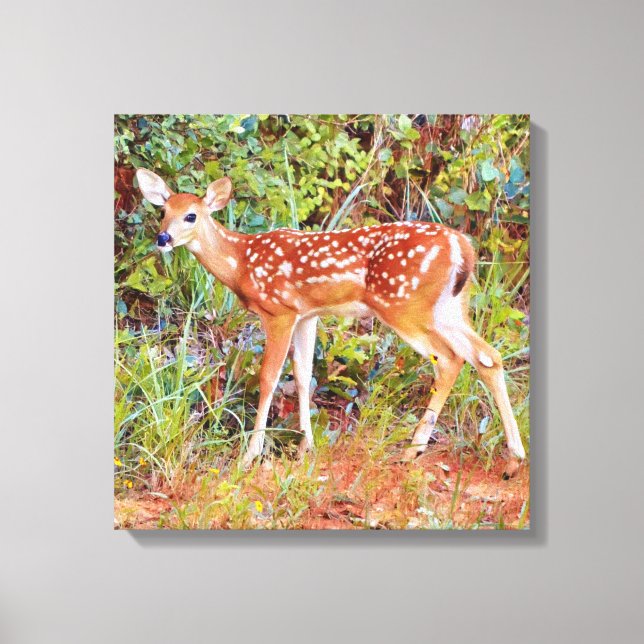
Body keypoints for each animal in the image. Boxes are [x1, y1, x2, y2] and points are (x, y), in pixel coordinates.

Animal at [136, 169, 527, 471]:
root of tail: (464, 246)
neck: (242, 262)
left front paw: (250, 455)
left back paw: (413, 451)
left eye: (191, 216)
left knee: (449, 359)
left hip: (404, 305)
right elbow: (303, 375)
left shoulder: (279, 311)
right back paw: (513, 459)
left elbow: (269, 378)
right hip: (451, 307)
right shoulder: (308, 315)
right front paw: (305, 448)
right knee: (487, 356)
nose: (163, 238)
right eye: (163, 210)